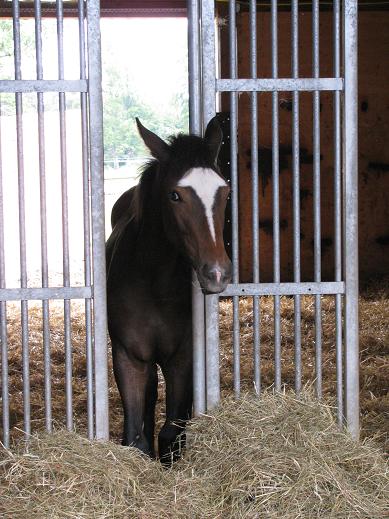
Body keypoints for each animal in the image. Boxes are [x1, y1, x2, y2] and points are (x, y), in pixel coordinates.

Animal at [105, 120, 230, 466]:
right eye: (175, 195)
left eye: (224, 190)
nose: (217, 273)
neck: (154, 284)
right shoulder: (130, 357)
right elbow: (136, 438)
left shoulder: (182, 358)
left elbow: (172, 433)